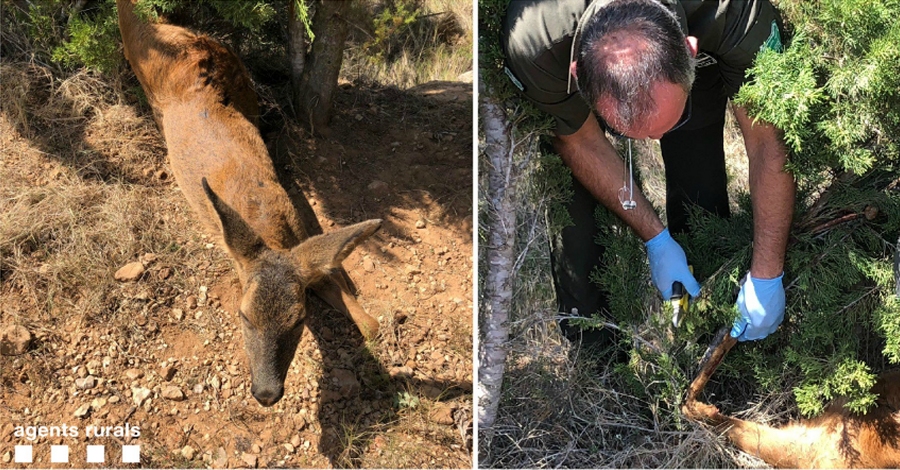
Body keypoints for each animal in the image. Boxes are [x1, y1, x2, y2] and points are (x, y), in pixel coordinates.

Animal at [114, 0, 382, 406]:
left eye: (298, 320)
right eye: (243, 316)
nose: (266, 393)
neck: (264, 221)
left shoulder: (301, 249)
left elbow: (367, 319)